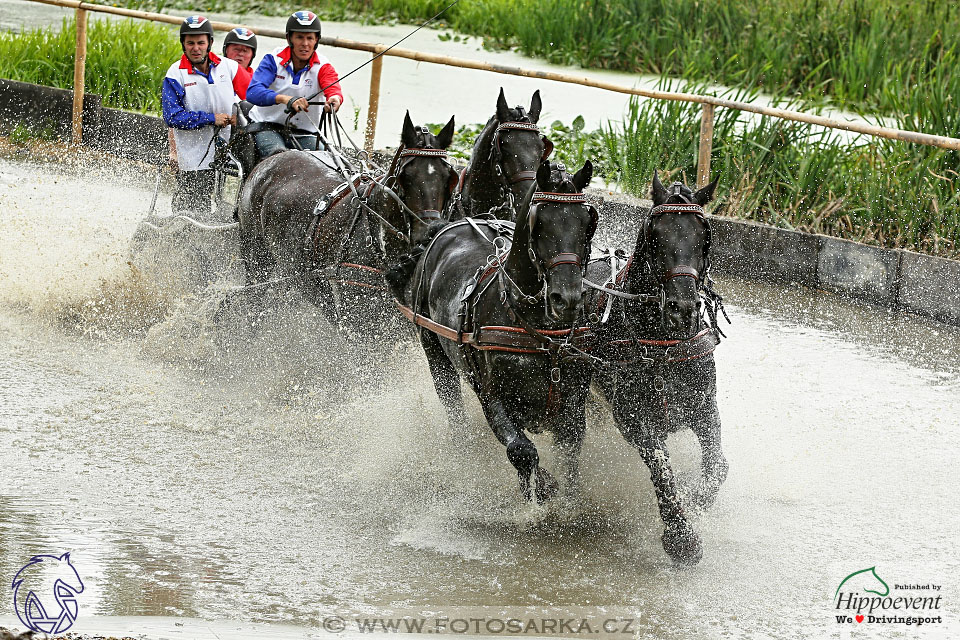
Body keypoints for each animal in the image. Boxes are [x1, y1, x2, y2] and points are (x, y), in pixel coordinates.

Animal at [406, 159, 600, 500]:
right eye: (540, 222)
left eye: (587, 223)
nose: (567, 299)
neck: (540, 334)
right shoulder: (493, 397)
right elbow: (522, 452)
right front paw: (541, 488)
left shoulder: (574, 408)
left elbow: (571, 460)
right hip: (435, 351)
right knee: (452, 405)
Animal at [584, 171, 728, 564]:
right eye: (654, 234)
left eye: (705, 235)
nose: (683, 308)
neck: (663, 343)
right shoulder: (633, 418)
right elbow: (662, 469)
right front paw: (681, 538)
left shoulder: (704, 407)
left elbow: (717, 468)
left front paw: (696, 498)